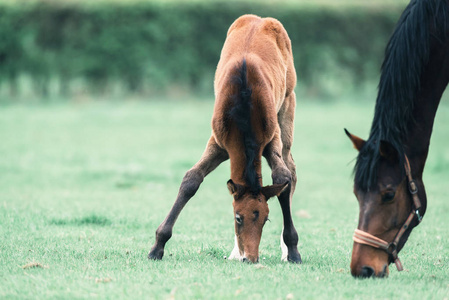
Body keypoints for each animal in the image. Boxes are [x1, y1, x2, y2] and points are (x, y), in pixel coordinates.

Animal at [148, 14, 300, 262]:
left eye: (266, 219)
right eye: (238, 217)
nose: (251, 258)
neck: (244, 106)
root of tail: (260, 19)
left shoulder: (271, 138)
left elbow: (283, 176)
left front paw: (293, 249)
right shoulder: (219, 142)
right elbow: (191, 179)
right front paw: (157, 247)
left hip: (288, 104)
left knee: (291, 168)